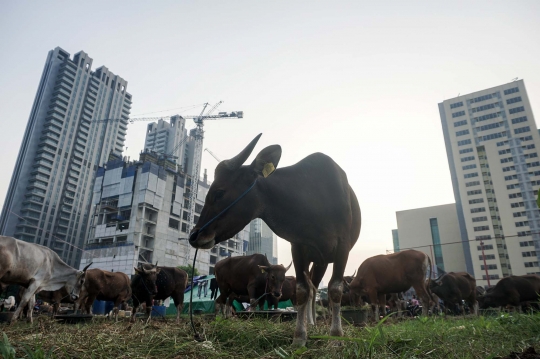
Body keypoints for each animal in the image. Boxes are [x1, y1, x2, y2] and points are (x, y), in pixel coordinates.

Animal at [188, 134, 360, 346]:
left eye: (219, 192)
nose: (195, 235)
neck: (314, 200)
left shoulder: (342, 248)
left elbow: (335, 289)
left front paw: (336, 336)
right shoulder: (298, 247)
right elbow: (302, 290)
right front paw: (299, 336)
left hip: (324, 260)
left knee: (317, 287)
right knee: (312, 288)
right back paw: (311, 323)